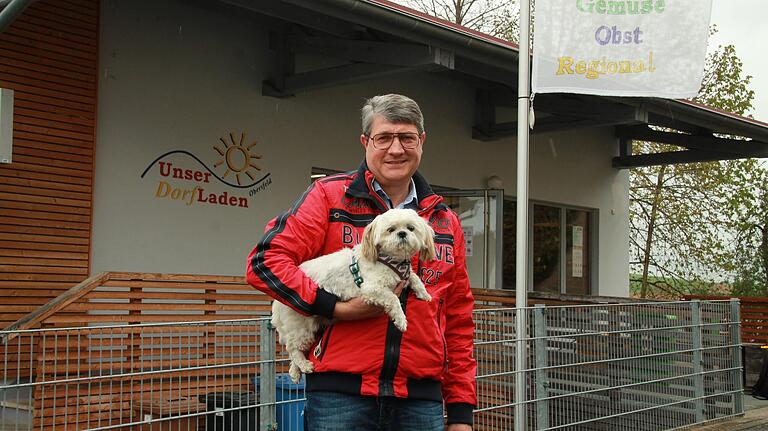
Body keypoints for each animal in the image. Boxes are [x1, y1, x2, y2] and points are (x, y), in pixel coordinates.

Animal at [272, 209, 436, 384]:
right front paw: (401, 320)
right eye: (391, 229)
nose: (402, 233)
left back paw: (295, 372)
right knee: (293, 348)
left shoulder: (403, 275)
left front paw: (424, 293)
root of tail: (277, 303)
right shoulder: (371, 289)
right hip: (301, 325)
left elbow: (414, 277)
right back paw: (304, 365)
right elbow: (393, 298)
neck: (392, 261)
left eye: (411, 228)